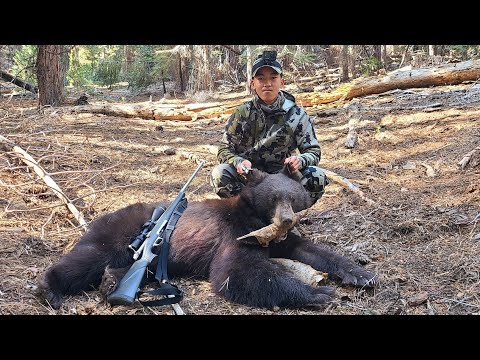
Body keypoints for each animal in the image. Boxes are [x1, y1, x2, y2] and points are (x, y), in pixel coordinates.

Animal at [37, 169, 376, 310]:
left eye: (293, 198)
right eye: (274, 198)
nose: (286, 219)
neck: (256, 220)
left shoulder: (279, 239)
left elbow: (313, 250)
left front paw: (362, 274)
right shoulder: (235, 233)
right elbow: (235, 272)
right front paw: (319, 292)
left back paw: (111, 283)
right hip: (118, 232)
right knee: (87, 259)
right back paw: (50, 289)